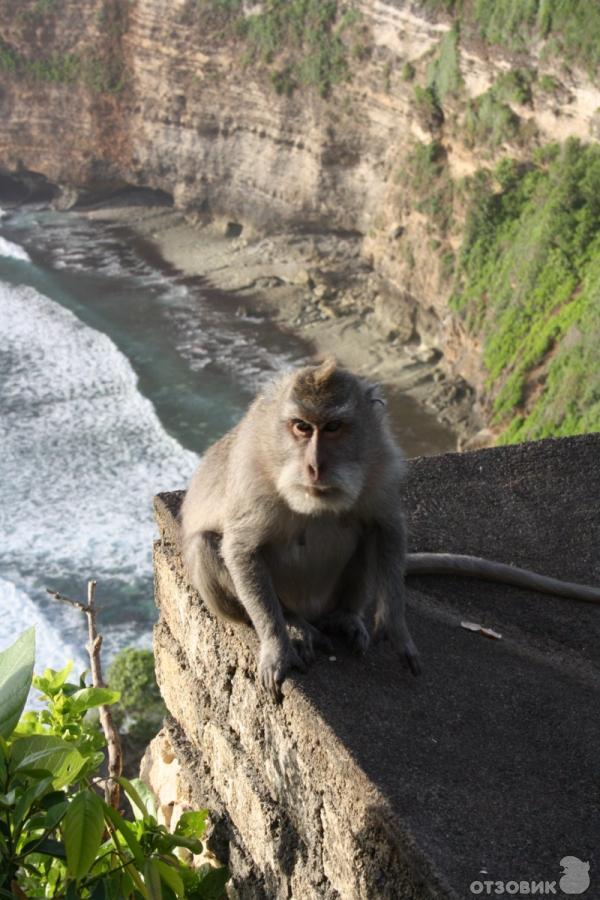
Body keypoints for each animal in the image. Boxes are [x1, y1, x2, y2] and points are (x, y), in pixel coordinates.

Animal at [180, 356, 420, 700]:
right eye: (302, 427)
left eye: (333, 427)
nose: (315, 466)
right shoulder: (252, 475)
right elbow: (241, 550)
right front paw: (277, 647)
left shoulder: (381, 463)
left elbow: (387, 528)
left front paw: (394, 626)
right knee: (203, 546)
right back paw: (295, 623)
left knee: (366, 534)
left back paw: (347, 616)